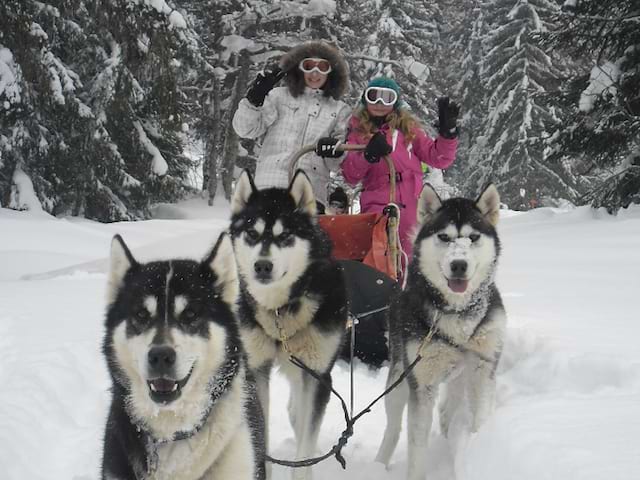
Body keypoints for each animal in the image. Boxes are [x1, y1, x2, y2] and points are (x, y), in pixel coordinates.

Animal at [230, 171, 348, 478]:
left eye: (285, 236)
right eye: (251, 233)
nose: (262, 266)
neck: (280, 312)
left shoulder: (318, 377)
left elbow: (305, 450)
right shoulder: (256, 371)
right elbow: (260, 439)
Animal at [376, 182, 504, 478]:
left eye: (473, 237)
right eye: (444, 237)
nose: (459, 265)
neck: (457, 314)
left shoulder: (484, 367)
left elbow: (479, 417)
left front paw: (479, 448)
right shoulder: (421, 383)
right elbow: (416, 446)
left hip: (459, 374)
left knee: (448, 407)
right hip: (399, 377)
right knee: (393, 427)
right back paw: (379, 464)